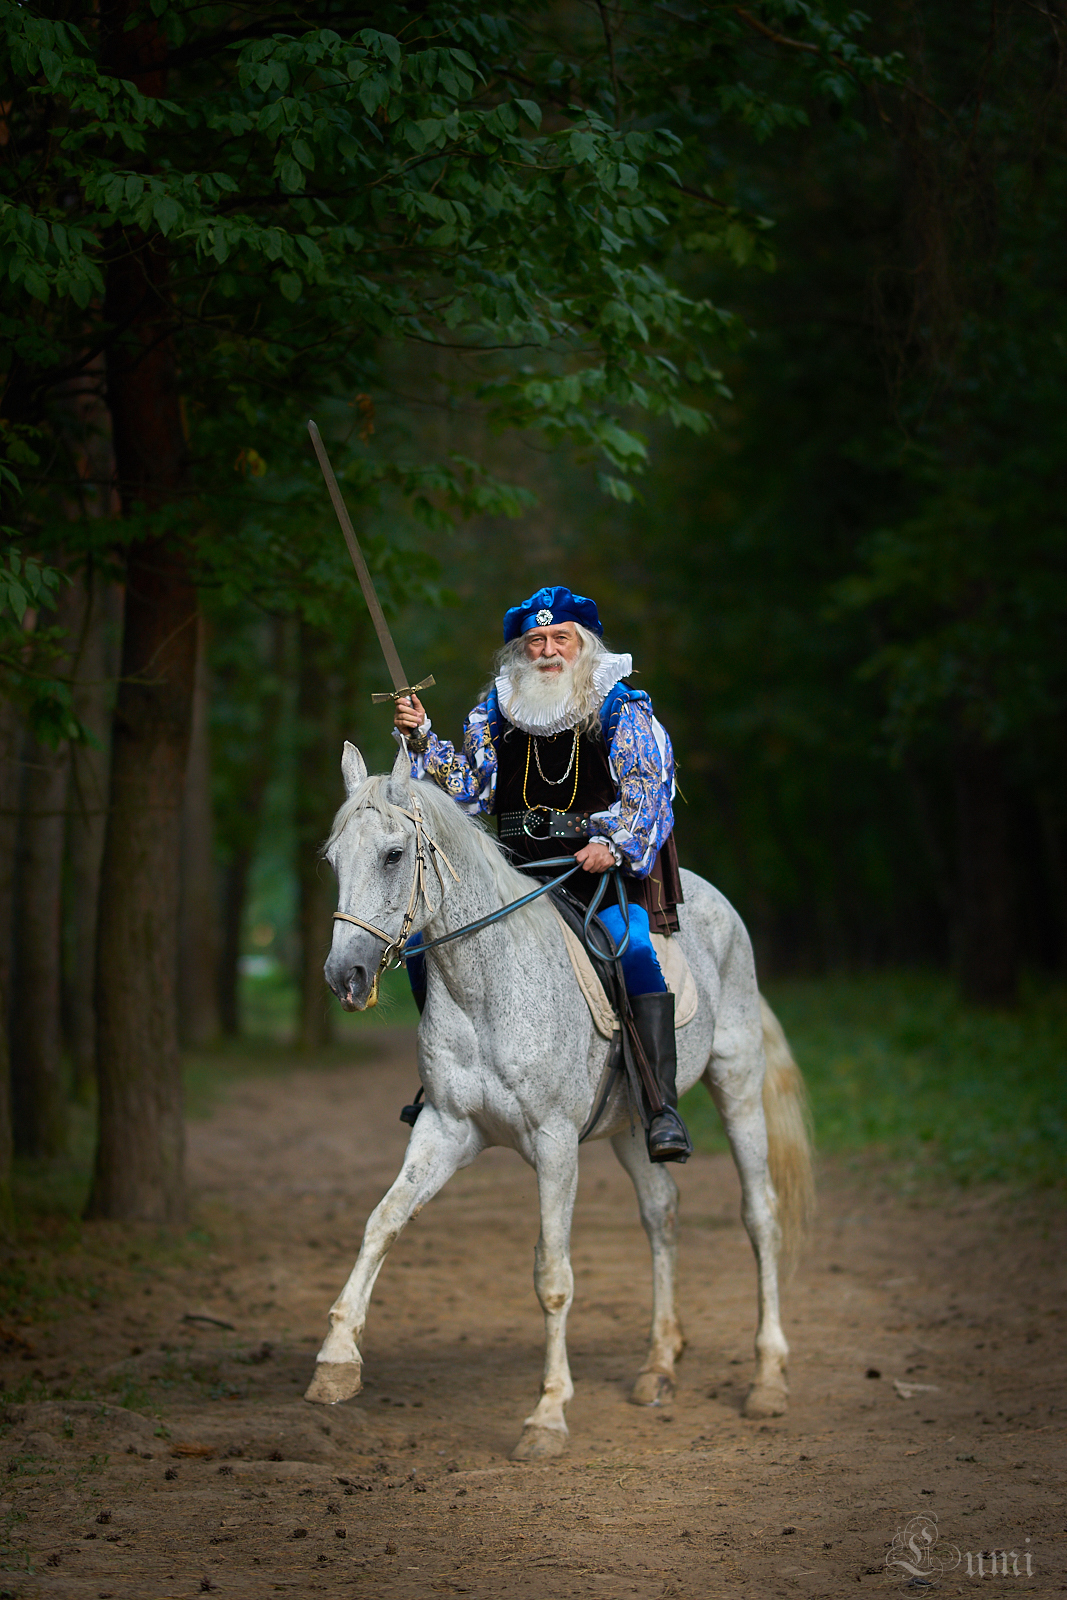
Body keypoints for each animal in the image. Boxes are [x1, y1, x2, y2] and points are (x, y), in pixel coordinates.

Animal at [303, 742, 812, 1459]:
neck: (486, 987)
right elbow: (383, 1221)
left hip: (735, 1082)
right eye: (332, 859)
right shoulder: (445, 1130)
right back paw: (658, 1366)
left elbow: (552, 1276)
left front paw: (546, 1416)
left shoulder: (553, 1142)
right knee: (662, 1212)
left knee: (759, 1215)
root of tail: (719, 907)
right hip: (634, 1124)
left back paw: (767, 1378)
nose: (343, 977)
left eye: (394, 855)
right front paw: (336, 1362)